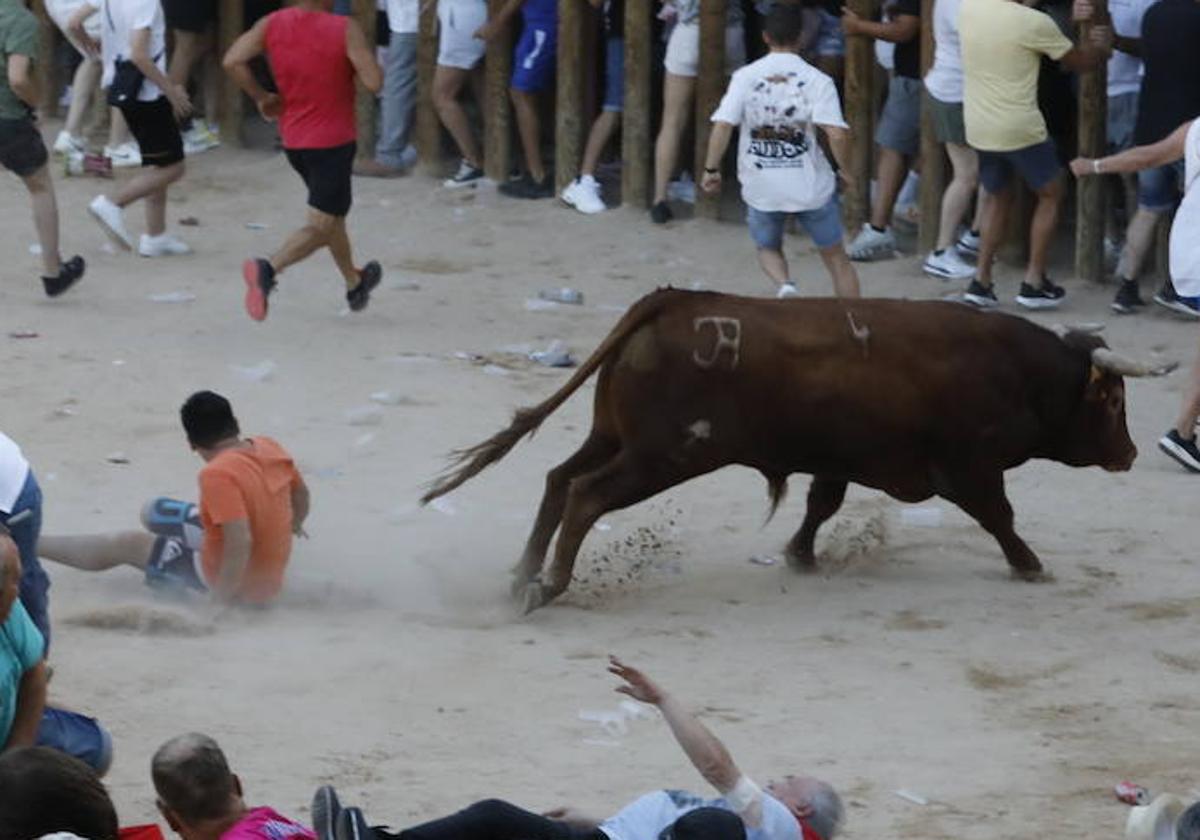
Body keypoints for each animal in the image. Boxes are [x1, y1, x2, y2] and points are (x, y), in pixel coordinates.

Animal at [422, 289, 1171, 609]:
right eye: (1113, 401)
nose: (1130, 454)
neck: (1015, 370)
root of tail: (671, 300)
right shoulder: (968, 467)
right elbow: (1000, 517)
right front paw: (1031, 566)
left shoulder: (840, 459)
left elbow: (820, 504)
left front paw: (800, 556)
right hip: (663, 455)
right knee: (585, 494)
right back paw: (549, 586)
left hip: (615, 437)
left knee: (557, 480)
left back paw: (523, 573)